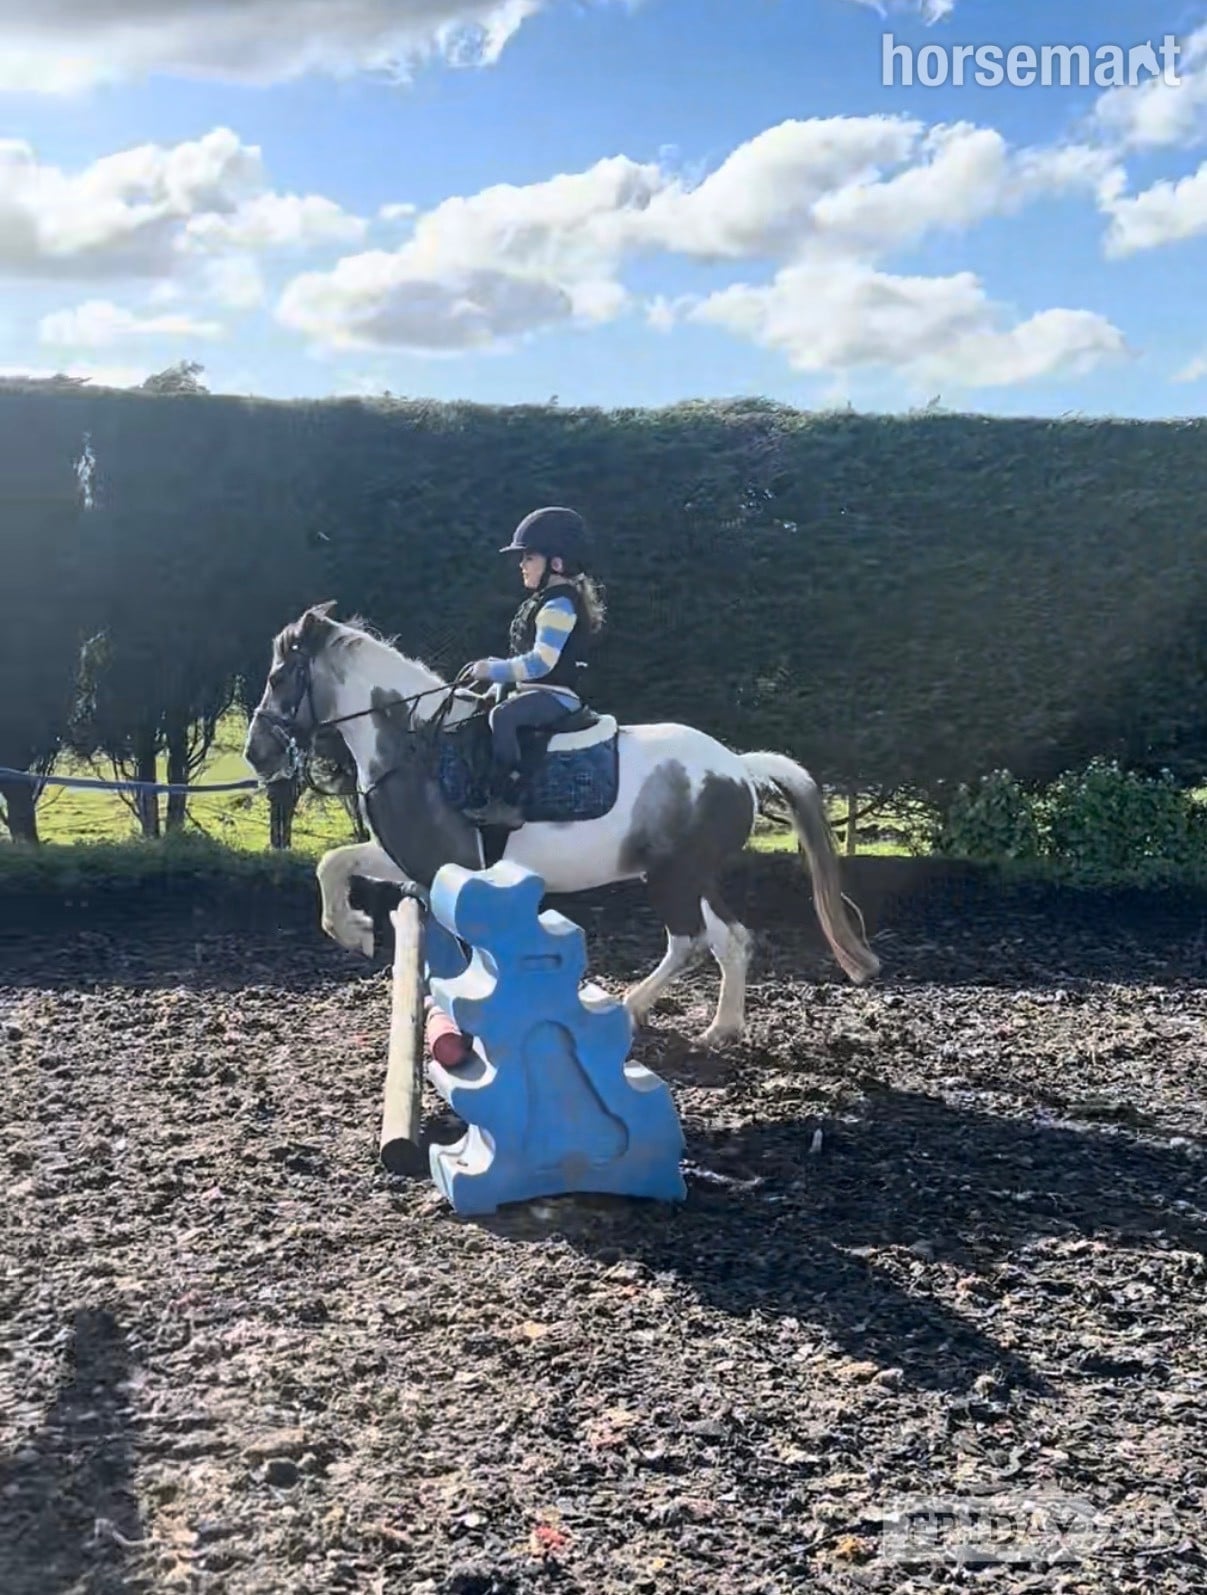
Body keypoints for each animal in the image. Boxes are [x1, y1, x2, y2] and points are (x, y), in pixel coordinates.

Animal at [242, 602, 880, 1047]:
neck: (417, 745)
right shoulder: (406, 856)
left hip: (672, 878)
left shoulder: (444, 863)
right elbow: (334, 863)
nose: (256, 753)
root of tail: (739, 767)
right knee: (733, 939)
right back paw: (720, 1030)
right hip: (695, 877)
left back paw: (629, 1009)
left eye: (277, 678)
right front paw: (353, 930)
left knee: (690, 941)